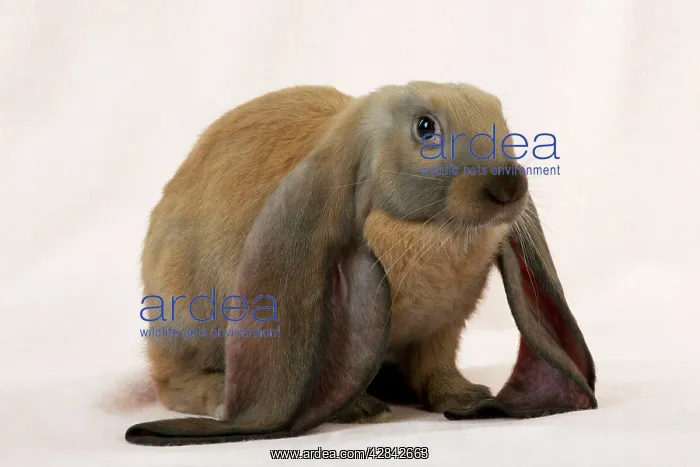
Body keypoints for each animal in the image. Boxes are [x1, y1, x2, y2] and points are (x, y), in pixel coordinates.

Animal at [125, 82, 597, 446]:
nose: (507, 185)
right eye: (425, 127)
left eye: (504, 123)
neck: (429, 233)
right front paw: (363, 411)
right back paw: (222, 394)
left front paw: (467, 398)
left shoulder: (443, 330)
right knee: (171, 380)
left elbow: (438, 368)